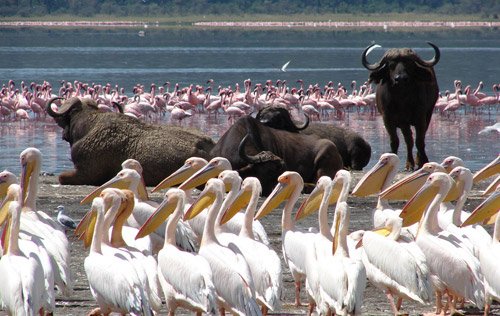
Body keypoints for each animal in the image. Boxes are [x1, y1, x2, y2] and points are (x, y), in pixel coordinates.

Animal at [362, 42, 440, 170]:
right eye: (391, 65)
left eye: (409, 64)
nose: (401, 79)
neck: (402, 100)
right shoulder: (388, 119)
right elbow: (395, 141)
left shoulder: (420, 117)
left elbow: (420, 141)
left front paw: (423, 161)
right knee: (408, 140)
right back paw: (410, 163)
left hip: (428, 113)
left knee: (418, 138)